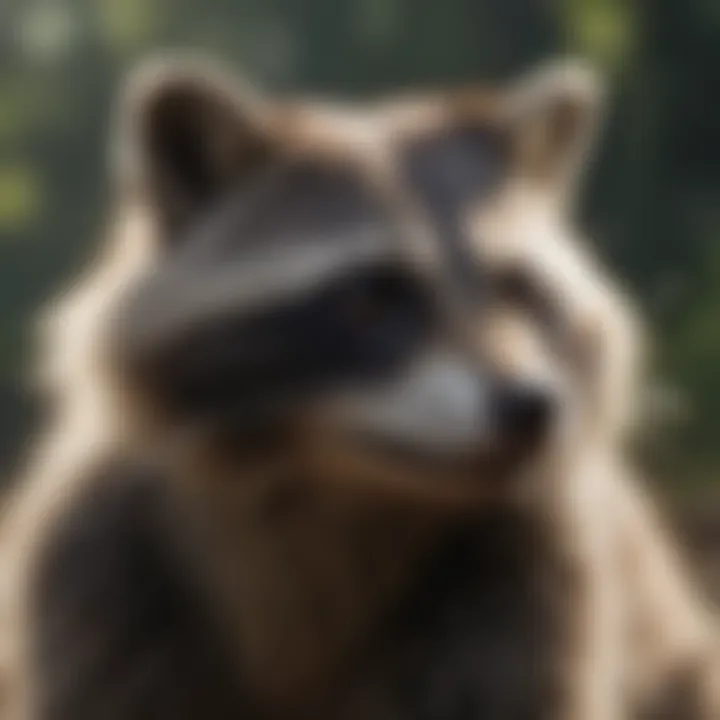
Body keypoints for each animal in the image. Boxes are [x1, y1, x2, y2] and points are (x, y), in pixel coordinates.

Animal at [0, 56, 716, 720]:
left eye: (517, 291)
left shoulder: (523, 588)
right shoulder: (109, 585)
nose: (531, 406)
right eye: (370, 299)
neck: (339, 487)